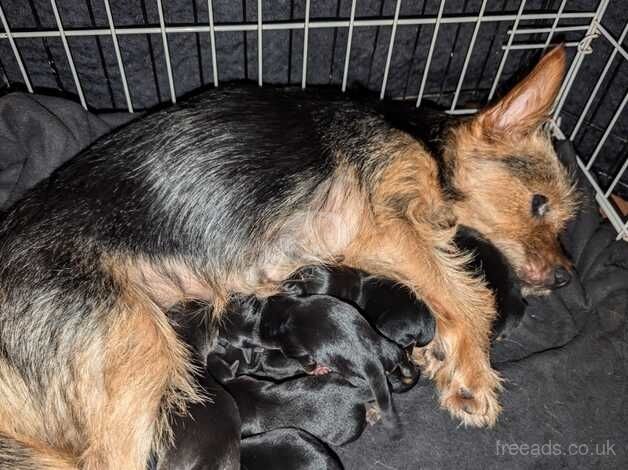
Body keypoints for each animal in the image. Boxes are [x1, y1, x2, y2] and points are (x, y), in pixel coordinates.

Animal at [221, 296, 418, 428]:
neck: (260, 319)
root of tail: (372, 358)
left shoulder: (294, 351)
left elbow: (307, 363)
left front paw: (317, 370)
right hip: (388, 346)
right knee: (400, 357)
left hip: (352, 373)